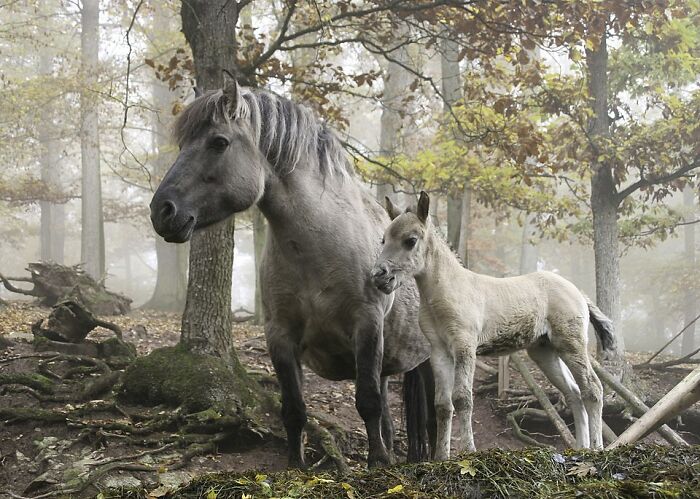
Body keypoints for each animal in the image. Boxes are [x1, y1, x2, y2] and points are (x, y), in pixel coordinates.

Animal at [149, 75, 434, 468]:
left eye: (219, 142)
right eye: (182, 144)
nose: (162, 211)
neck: (317, 251)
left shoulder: (367, 324)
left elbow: (367, 402)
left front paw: (377, 464)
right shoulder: (280, 335)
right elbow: (294, 409)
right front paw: (296, 466)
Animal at [371, 191, 616, 460]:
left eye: (410, 240)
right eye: (384, 239)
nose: (379, 276)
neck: (447, 291)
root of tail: (579, 292)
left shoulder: (464, 346)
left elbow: (462, 398)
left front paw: (468, 450)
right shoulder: (439, 351)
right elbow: (442, 405)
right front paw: (441, 458)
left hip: (571, 344)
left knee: (592, 388)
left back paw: (597, 448)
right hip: (544, 351)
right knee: (573, 393)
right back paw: (581, 449)